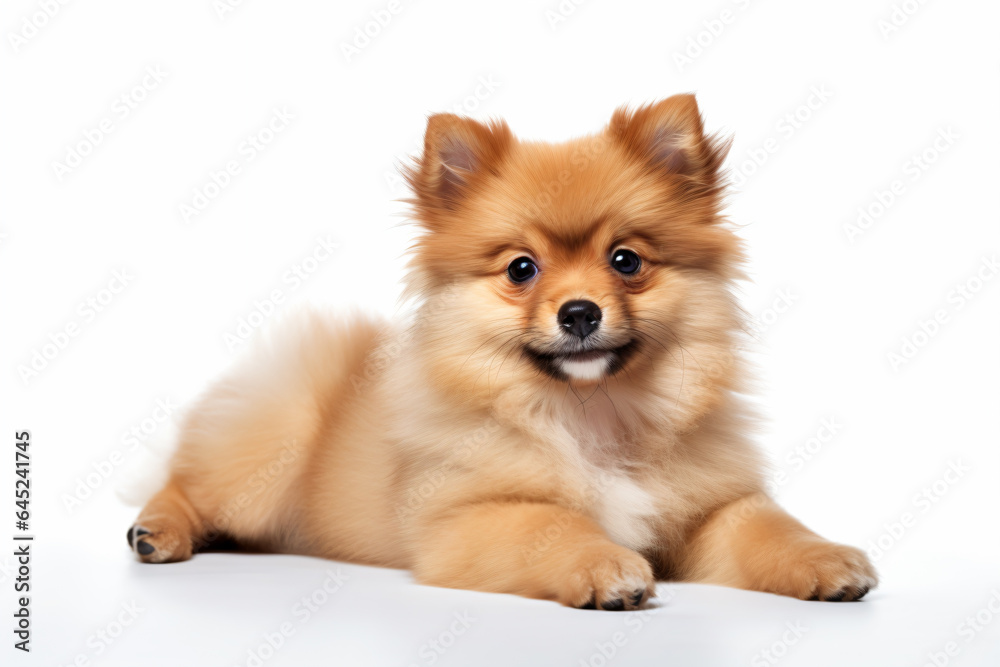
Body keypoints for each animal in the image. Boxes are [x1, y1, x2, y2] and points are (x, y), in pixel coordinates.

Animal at [129, 94, 880, 612]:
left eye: (626, 260)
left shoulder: (708, 511)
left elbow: (768, 527)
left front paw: (825, 559)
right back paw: (157, 531)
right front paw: (604, 565)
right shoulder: (465, 520)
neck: (591, 410)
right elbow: (549, 521)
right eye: (522, 269)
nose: (580, 312)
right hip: (271, 443)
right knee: (184, 481)